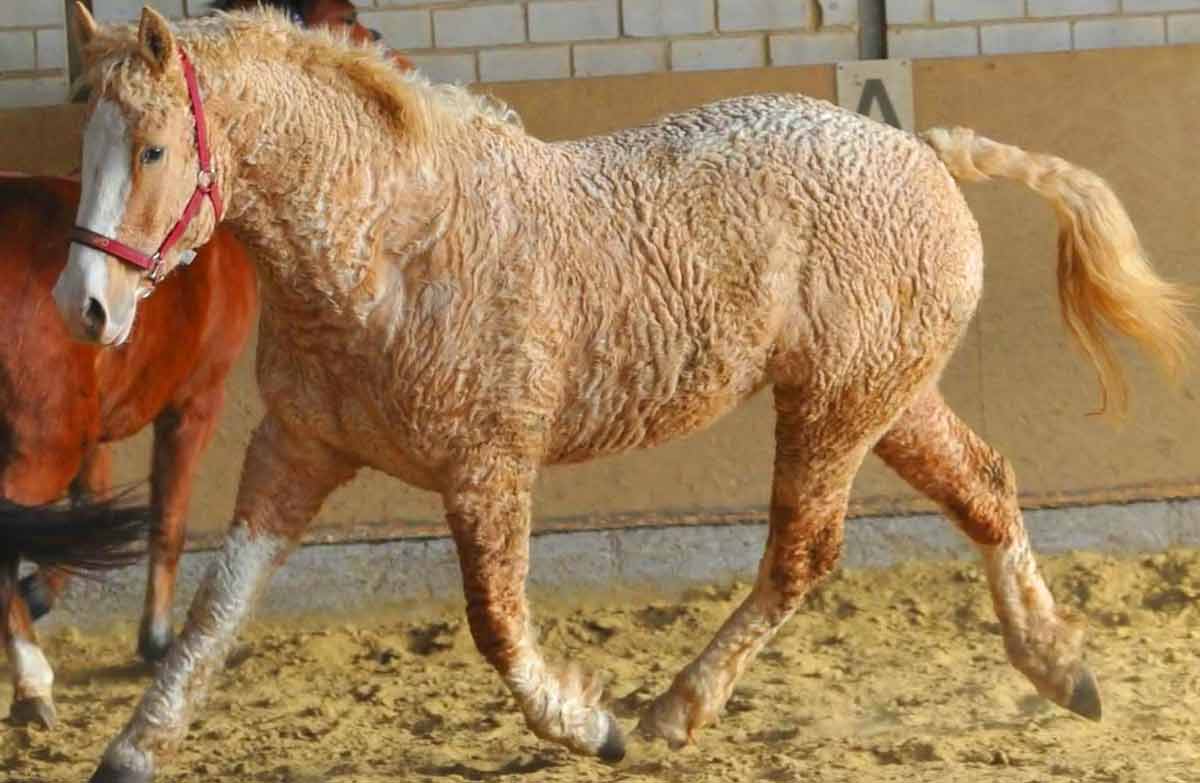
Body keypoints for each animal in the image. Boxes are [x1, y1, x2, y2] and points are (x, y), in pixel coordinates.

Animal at [0, 174, 256, 729]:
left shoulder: (94, 430)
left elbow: (86, 515)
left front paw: (38, 593)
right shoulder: (194, 405)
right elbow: (167, 522)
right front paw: (157, 641)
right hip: (43, 451)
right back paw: (33, 683)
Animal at [55, 6, 1194, 781]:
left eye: (153, 148)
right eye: (88, 146)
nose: (86, 309)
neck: (391, 244)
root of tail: (919, 150)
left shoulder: (487, 468)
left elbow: (497, 625)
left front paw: (589, 723)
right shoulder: (296, 450)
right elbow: (218, 604)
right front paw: (134, 746)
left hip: (835, 409)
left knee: (804, 552)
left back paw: (675, 709)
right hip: (888, 399)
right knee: (985, 491)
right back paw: (1060, 670)